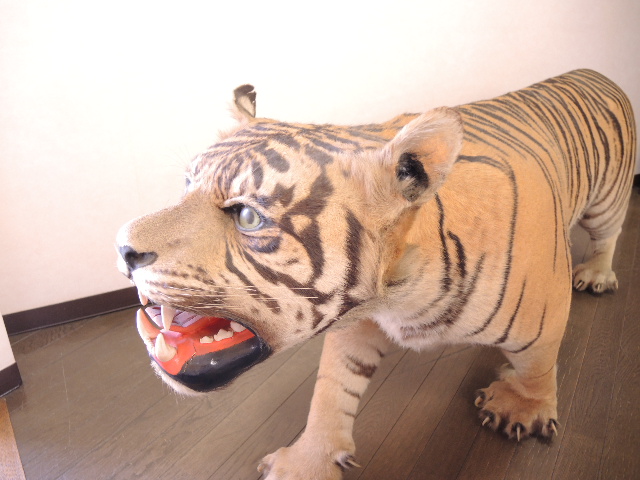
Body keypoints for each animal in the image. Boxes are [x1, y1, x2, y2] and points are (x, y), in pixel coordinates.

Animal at [116, 69, 636, 480]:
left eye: (247, 217)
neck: (394, 296)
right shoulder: (353, 324)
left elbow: (537, 364)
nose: (121, 247)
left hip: (606, 202)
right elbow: (332, 391)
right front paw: (306, 463)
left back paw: (596, 274)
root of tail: (596, 72)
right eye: (187, 185)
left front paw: (521, 409)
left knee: (609, 234)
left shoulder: (544, 316)